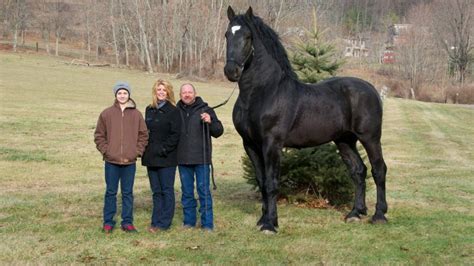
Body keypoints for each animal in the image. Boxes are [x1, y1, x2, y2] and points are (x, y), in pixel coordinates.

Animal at [224, 6, 386, 233]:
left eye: (247, 37)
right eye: (227, 35)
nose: (231, 71)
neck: (263, 92)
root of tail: (371, 88)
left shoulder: (272, 144)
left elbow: (272, 183)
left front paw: (270, 224)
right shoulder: (250, 145)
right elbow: (262, 182)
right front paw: (263, 219)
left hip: (370, 138)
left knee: (378, 170)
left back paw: (379, 215)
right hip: (345, 141)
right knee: (358, 171)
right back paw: (355, 213)